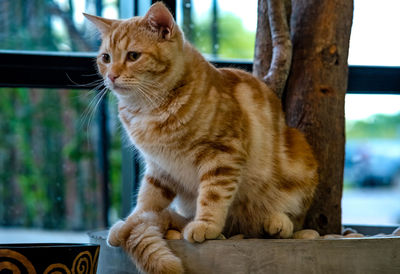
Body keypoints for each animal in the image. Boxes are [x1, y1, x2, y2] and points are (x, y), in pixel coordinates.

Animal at [85, 2, 318, 274]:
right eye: (105, 58)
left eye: (133, 56)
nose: (111, 75)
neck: (147, 110)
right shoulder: (159, 167)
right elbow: (147, 200)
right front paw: (130, 222)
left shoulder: (223, 154)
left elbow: (213, 195)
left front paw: (206, 224)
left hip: (300, 161)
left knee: (295, 219)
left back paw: (276, 221)